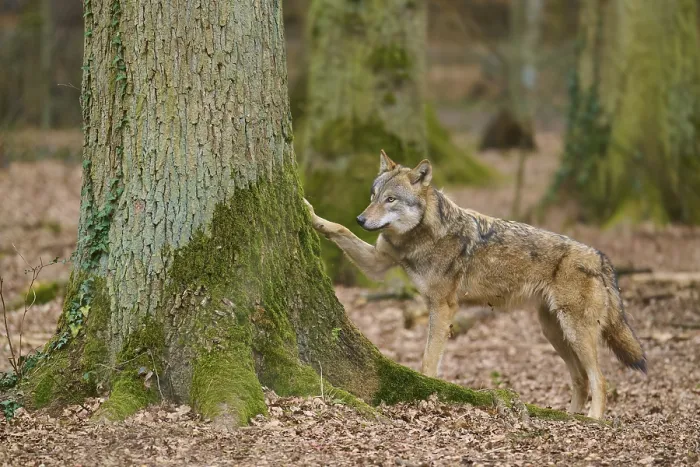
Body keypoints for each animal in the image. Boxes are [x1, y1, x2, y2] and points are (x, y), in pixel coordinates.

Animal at [304, 150, 647, 420]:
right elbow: (340, 229)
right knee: (581, 379)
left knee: (600, 380)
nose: (362, 219)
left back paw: (594, 421)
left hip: (575, 333)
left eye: (391, 199)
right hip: (554, 333)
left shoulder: (443, 307)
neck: (418, 237)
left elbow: (429, 360)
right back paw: (572, 417)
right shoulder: (378, 264)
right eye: (373, 196)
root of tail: (600, 257)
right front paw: (310, 213)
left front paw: (428, 392)